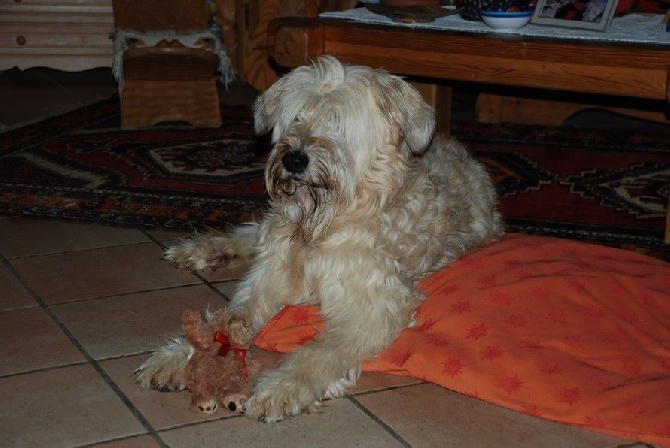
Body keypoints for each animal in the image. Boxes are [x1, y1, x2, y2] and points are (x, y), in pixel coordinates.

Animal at [138, 54, 504, 422]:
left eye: (338, 123)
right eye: (297, 116)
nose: (293, 159)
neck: (319, 233)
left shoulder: (374, 307)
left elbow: (321, 350)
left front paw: (283, 387)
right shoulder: (265, 281)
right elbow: (225, 319)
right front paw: (177, 356)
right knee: (252, 233)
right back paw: (200, 250)